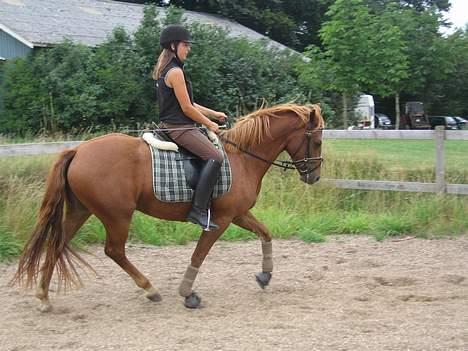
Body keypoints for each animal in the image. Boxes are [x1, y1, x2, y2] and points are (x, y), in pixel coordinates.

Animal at [11, 102, 326, 310]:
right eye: (318, 141)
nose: (314, 176)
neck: (243, 156)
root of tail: (78, 150)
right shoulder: (221, 219)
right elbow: (199, 255)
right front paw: (188, 293)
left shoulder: (238, 214)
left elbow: (265, 233)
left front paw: (265, 275)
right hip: (117, 215)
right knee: (114, 250)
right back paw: (150, 289)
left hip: (81, 210)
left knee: (57, 244)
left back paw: (43, 297)